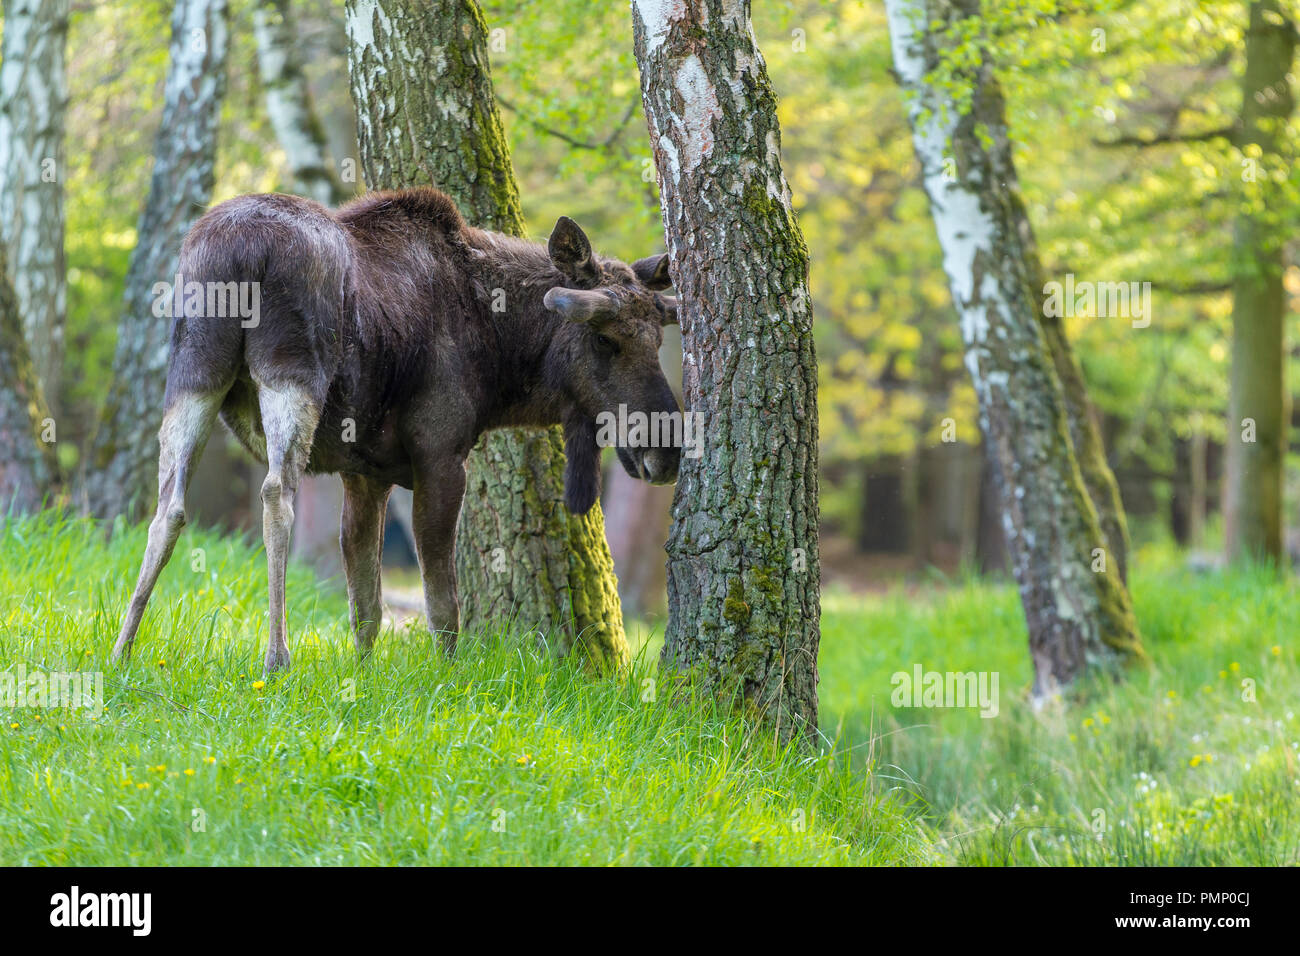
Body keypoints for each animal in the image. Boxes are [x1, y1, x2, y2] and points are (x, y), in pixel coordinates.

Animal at [111, 187, 682, 674]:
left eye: (658, 339)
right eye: (605, 339)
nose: (667, 452)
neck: (501, 359)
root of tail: (238, 252)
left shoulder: (366, 475)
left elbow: (366, 604)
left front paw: (363, 677)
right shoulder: (442, 456)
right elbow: (442, 601)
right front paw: (448, 677)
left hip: (193, 373)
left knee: (168, 509)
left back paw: (122, 650)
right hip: (292, 372)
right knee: (276, 494)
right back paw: (277, 657)